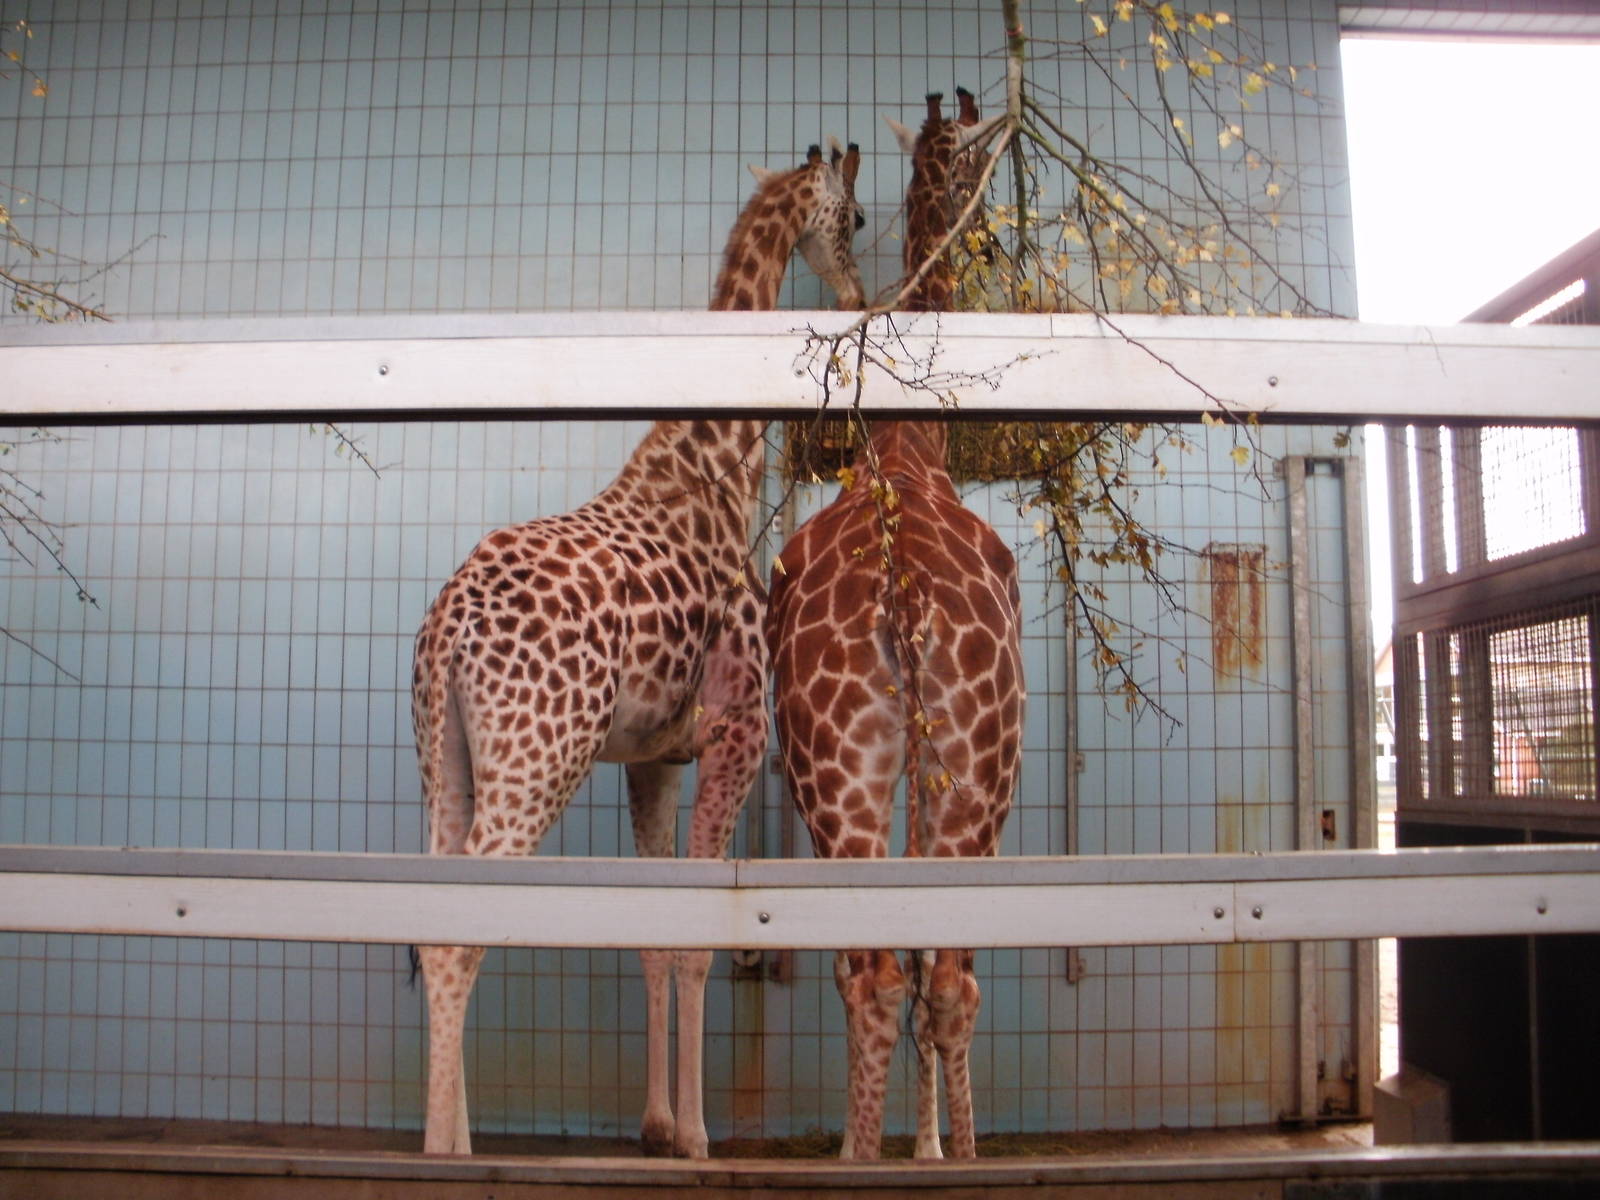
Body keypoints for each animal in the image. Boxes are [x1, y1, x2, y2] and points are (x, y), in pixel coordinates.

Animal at [412, 141, 863, 1159]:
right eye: (854, 217)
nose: (861, 288)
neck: (718, 466)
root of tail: (450, 628)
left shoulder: (653, 759)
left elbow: (655, 937)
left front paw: (656, 1123)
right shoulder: (738, 732)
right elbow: (697, 938)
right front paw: (696, 1136)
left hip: (444, 760)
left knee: (427, 926)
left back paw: (451, 1138)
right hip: (538, 757)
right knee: (456, 935)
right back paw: (448, 1155)